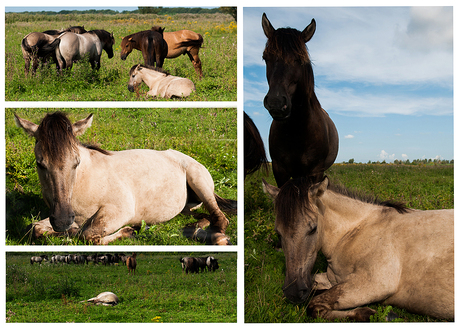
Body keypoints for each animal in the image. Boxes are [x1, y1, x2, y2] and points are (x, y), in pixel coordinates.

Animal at [14, 111, 237, 245]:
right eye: (40, 164)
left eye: (76, 162)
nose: (62, 221)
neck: (83, 183)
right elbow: (35, 228)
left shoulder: (119, 211)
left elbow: (88, 235)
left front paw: (129, 231)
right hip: (187, 208)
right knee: (204, 216)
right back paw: (195, 228)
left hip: (199, 182)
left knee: (220, 218)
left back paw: (217, 238)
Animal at [262, 12, 338, 187]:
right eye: (265, 58)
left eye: (299, 60)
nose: (276, 103)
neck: (297, 130)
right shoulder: (279, 171)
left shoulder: (315, 173)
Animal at [264, 176, 454, 322]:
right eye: (278, 233)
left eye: (313, 228)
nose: (293, 292)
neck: (354, 232)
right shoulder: (334, 279)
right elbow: (315, 288)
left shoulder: (374, 284)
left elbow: (314, 306)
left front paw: (375, 314)